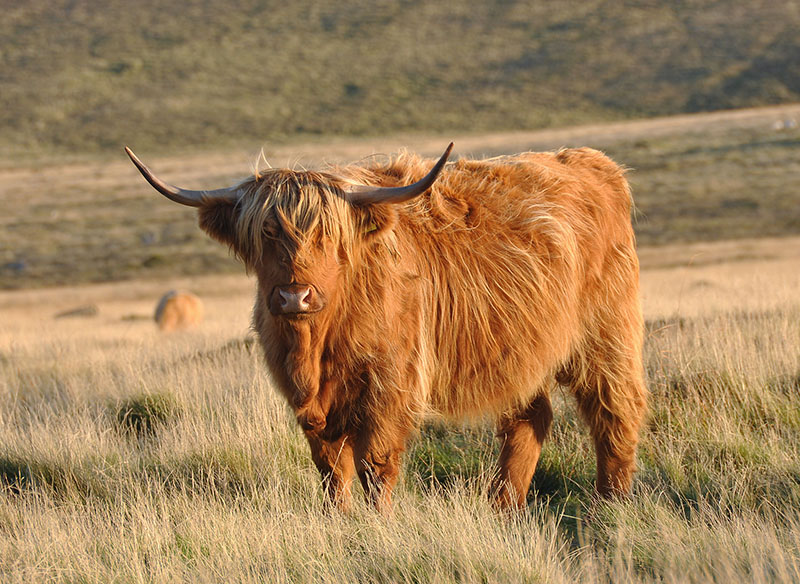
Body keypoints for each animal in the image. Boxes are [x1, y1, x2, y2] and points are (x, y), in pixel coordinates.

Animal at [128, 145, 648, 512]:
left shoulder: (389, 385)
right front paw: (336, 522)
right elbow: (330, 468)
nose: (294, 296)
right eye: (267, 233)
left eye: (327, 236)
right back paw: (504, 506)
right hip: (521, 349)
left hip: (606, 335)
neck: (316, 347)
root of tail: (593, 162)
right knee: (529, 419)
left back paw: (610, 505)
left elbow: (374, 465)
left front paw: (380, 525)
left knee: (616, 412)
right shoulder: (308, 403)